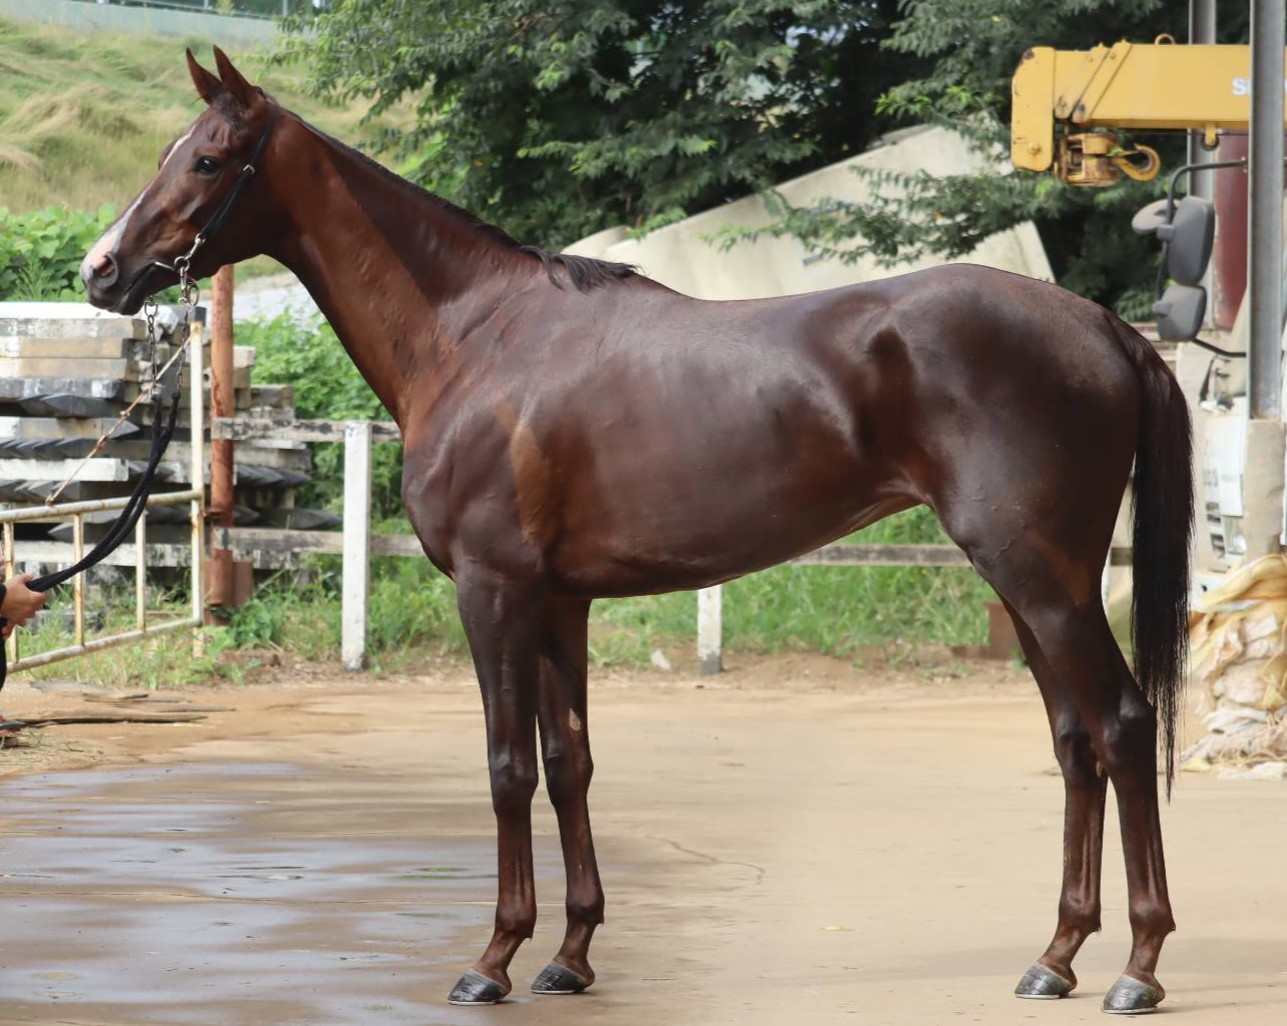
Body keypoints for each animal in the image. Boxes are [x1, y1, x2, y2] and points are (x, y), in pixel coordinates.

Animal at [81, 47, 1193, 1015]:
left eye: (207, 160)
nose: (102, 271)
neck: (476, 339)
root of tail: (1106, 329)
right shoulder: (559, 601)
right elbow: (568, 765)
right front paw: (569, 956)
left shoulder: (493, 591)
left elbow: (507, 770)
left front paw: (491, 959)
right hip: (1031, 580)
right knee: (1074, 743)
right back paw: (1055, 957)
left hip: (1039, 575)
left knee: (1122, 725)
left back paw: (1137, 967)